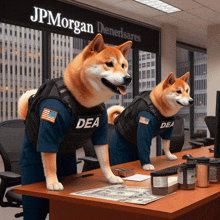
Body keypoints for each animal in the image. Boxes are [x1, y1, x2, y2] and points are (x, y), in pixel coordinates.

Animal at [18, 33, 132, 190]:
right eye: (109, 64)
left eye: (123, 65)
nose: (128, 78)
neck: (83, 101)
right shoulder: (51, 119)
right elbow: (50, 163)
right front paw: (52, 182)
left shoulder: (101, 131)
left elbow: (105, 161)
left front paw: (111, 177)